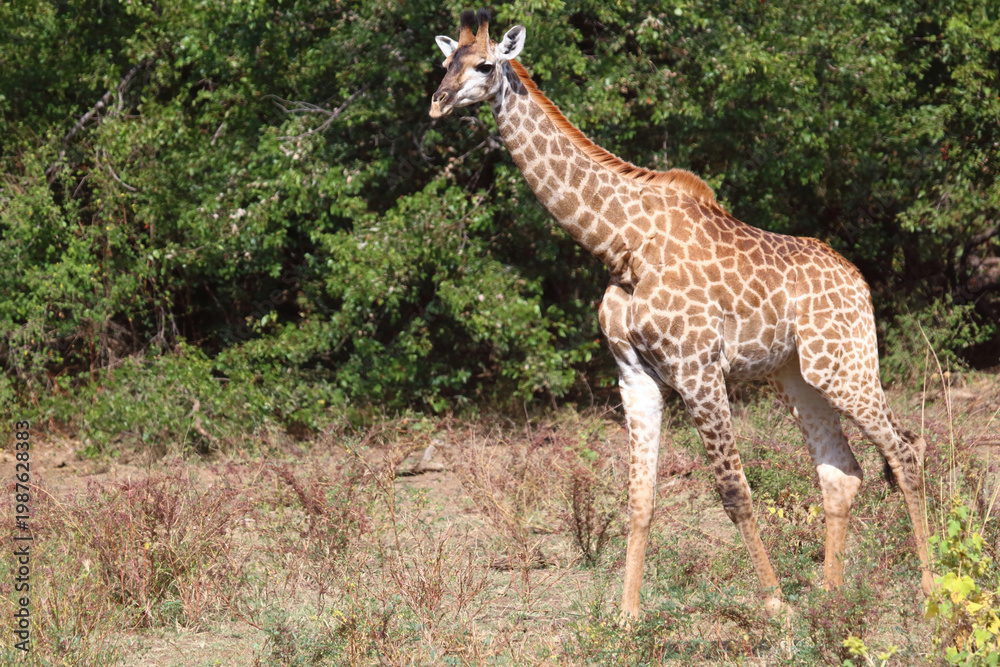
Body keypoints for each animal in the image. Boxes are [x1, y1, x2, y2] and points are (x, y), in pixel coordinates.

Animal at [429, 8, 935, 619]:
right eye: (444, 61)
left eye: (484, 64)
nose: (437, 102)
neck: (621, 245)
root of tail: (859, 282)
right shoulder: (635, 374)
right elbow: (639, 497)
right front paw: (627, 616)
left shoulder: (698, 369)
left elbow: (734, 490)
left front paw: (775, 606)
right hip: (800, 375)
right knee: (843, 470)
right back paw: (832, 599)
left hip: (846, 363)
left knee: (905, 449)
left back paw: (935, 591)